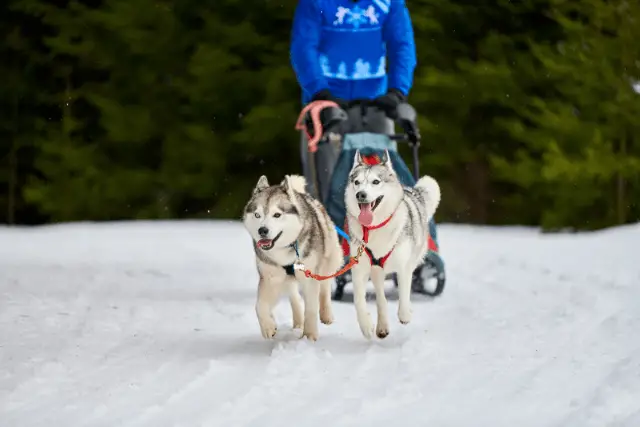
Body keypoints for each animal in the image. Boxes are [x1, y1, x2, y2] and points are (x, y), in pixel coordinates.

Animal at [241, 174, 342, 342]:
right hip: (287, 279)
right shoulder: (270, 278)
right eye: (257, 215)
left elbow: (311, 308)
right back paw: (298, 322)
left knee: (325, 288)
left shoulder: (310, 277)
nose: (262, 230)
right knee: (294, 296)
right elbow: (259, 306)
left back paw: (326, 315)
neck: (284, 251)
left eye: (277, 214)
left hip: (328, 261)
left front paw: (309, 336)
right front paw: (268, 327)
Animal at [344, 150, 440, 342]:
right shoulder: (359, 269)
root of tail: (412, 191)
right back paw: (382, 326)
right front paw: (366, 325)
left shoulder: (404, 267)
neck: (374, 228)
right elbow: (359, 300)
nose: (361, 194)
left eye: (376, 181)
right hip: (376, 272)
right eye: (357, 182)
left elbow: (404, 293)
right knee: (381, 298)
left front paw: (405, 314)